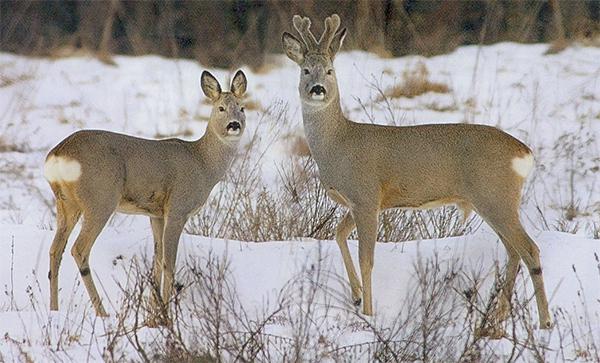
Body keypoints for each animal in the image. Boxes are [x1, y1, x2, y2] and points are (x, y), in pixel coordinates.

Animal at [44, 70, 246, 318]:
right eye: (220, 108)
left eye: (242, 107)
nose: (234, 125)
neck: (203, 163)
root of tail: (57, 154)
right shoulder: (178, 208)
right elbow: (169, 262)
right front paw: (167, 315)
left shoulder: (155, 214)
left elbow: (157, 261)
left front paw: (153, 311)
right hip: (100, 198)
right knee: (79, 249)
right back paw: (103, 312)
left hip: (66, 203)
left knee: (55, 250)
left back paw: (54, 309)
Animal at [282, 13, 552, 332]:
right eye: (305, 71)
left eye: (330, 71)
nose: (317, 89)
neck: (338, 143)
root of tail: (525, 152)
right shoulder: (359, 202)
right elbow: (338, 234)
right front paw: (356, 296)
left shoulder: (365, 195)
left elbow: (366, 258)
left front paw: (369, 313)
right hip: (491, 201)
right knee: (513, 253)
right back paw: (495, 319)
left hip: (495, 195)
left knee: (529, 249)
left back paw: (544, 322)